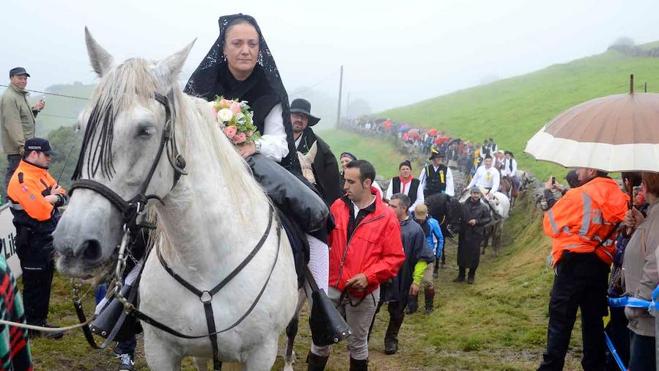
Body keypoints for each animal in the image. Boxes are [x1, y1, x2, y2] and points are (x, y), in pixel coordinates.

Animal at [52, 29, 298, 371]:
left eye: (145, 130)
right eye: (81, 125)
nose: (73, 245)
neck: (204, 264)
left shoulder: (261, 353)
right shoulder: (161, 350)